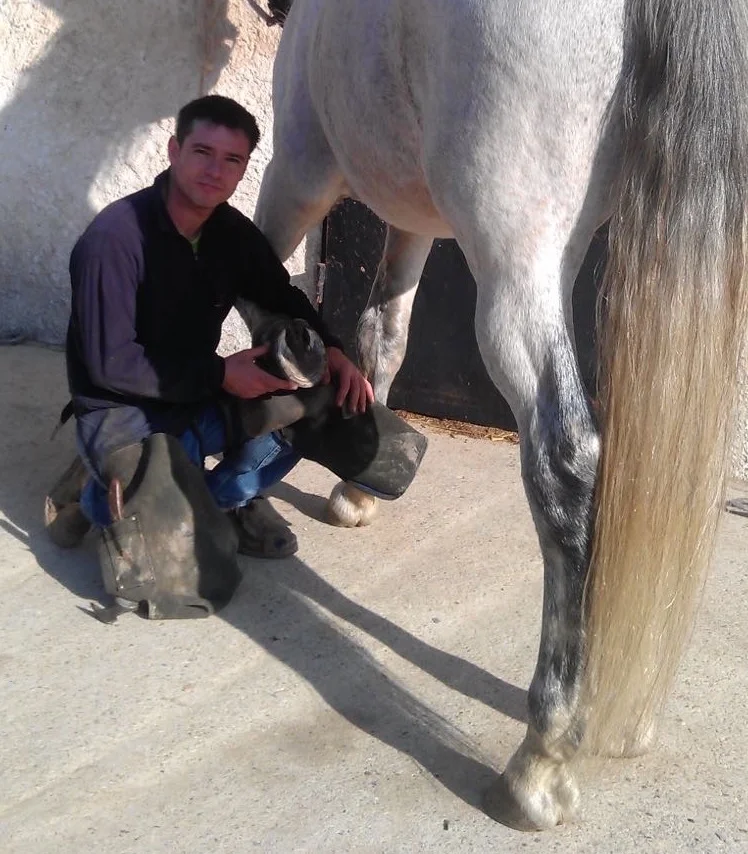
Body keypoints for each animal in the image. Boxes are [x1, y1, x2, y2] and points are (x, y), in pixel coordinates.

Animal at [244, 0, 748, 830]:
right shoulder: (411, 222)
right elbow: (385, 332)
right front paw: (359, 482)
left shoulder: (295, 174)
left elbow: (256, 316)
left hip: (516, 262)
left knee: (566, 467)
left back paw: (539, 764)